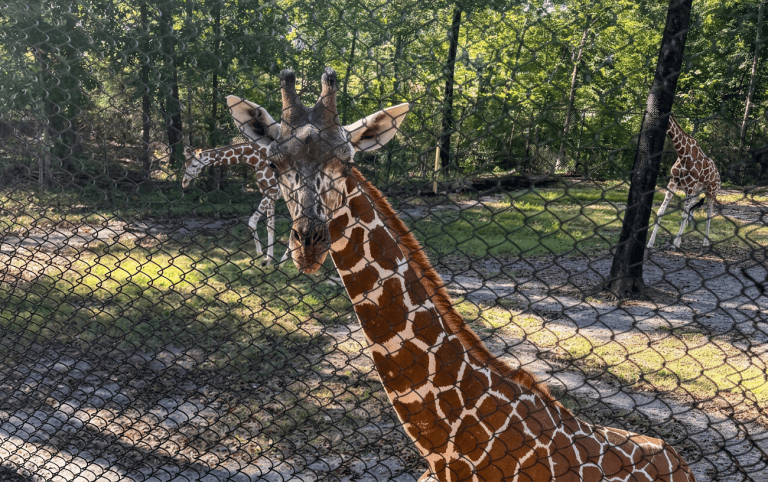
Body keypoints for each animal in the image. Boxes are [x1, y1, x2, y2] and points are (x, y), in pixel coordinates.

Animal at [647, 114, 721, 249]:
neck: (683, 155)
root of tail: (718, 176)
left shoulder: (690, 186)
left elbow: (683, 215)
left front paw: (675, 244)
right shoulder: (673, 182)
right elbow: (661, 211)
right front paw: (650, 242)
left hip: (711, 192)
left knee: (709, 214)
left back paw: (705, 241)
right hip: (696, 193)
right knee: (692, 211)